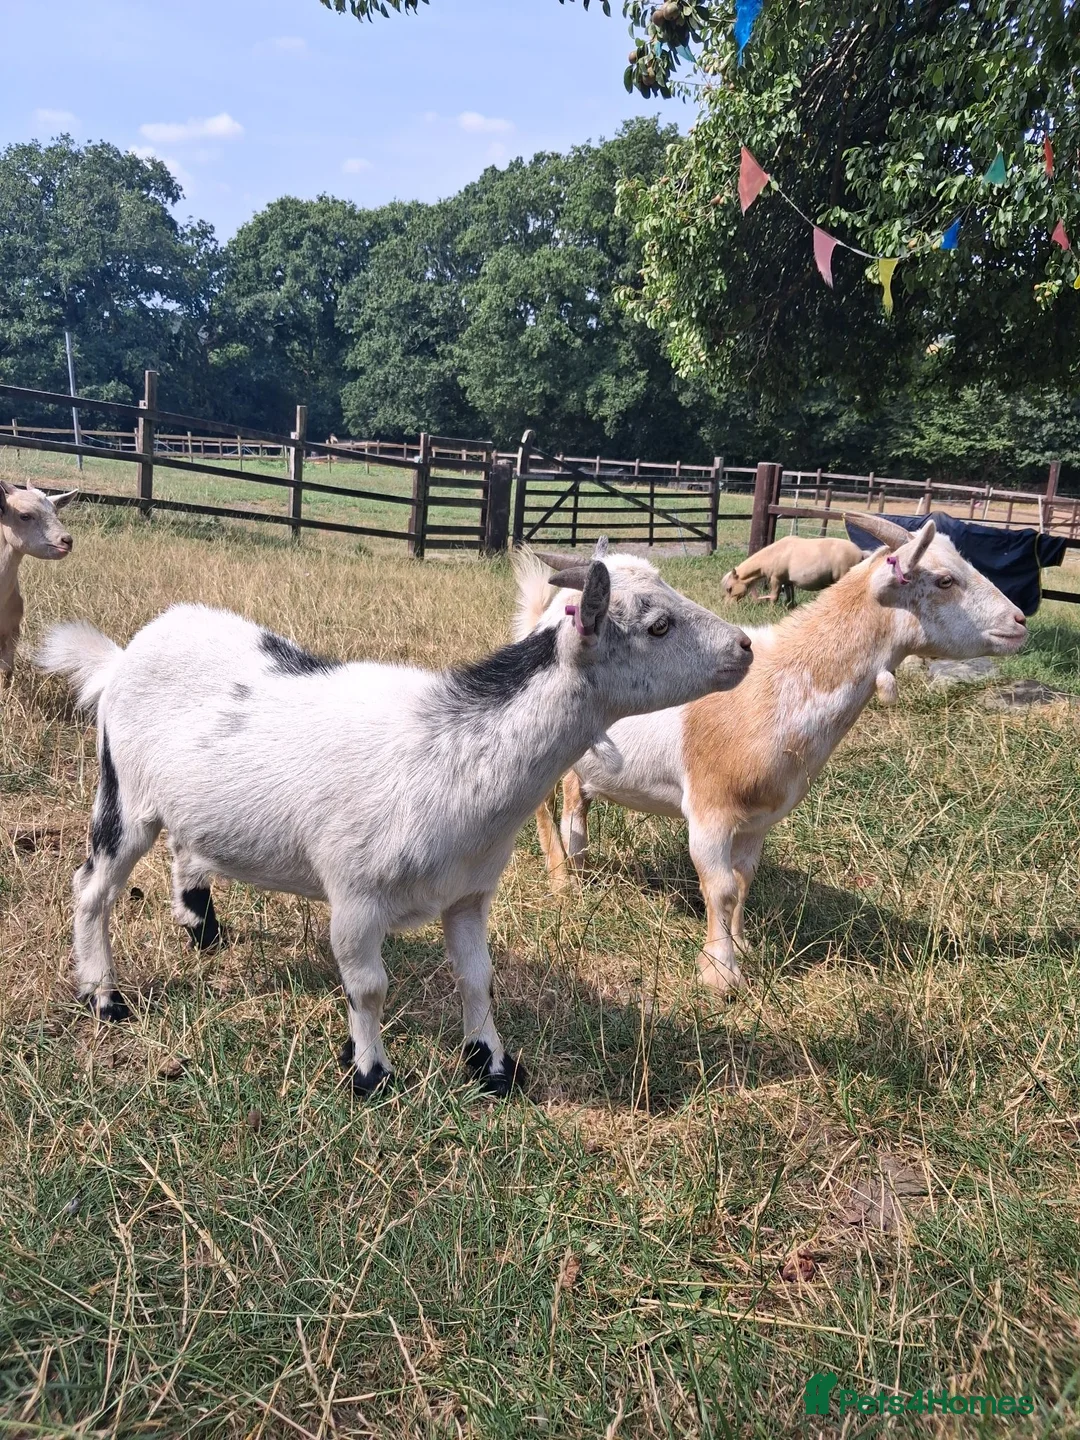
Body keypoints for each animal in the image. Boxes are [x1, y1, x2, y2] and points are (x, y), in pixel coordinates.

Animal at [37, 546, 753, 1094]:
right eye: (658, 625)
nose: (745, 646)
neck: (453, 754)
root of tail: (122, 656)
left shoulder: (468, 894)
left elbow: (476, 978)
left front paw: (493, 1065)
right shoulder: (354, 897)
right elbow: (368, 987)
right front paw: (371, 1075)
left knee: (186, 849)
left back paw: (203, 931)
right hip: (124, 793)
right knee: (91, 887)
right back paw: (104, 996)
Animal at [721, 535, 865, 605]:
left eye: (729, 589)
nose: (727, 606)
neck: (775, 553)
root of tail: (861, 553)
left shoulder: (776, 580)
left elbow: (774, 597)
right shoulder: (788, 582)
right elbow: (789, 598)